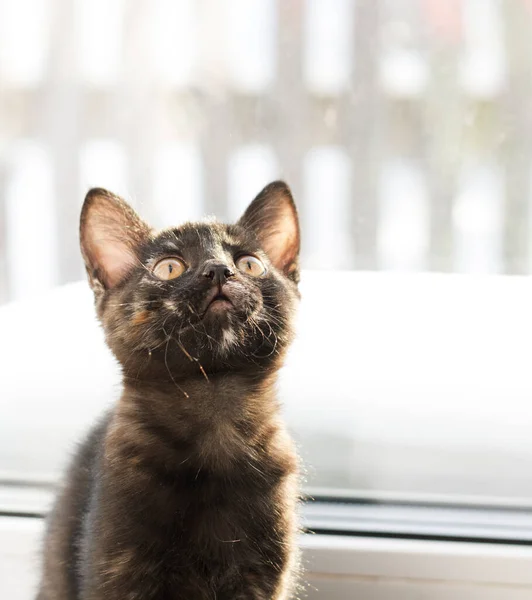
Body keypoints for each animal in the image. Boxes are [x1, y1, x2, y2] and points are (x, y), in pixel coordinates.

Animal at [36, 183, 304, 600]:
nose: (219, 270)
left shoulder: (262, 577)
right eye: (169, 267)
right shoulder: (117, 569)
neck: (214, 417)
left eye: (249, 264)